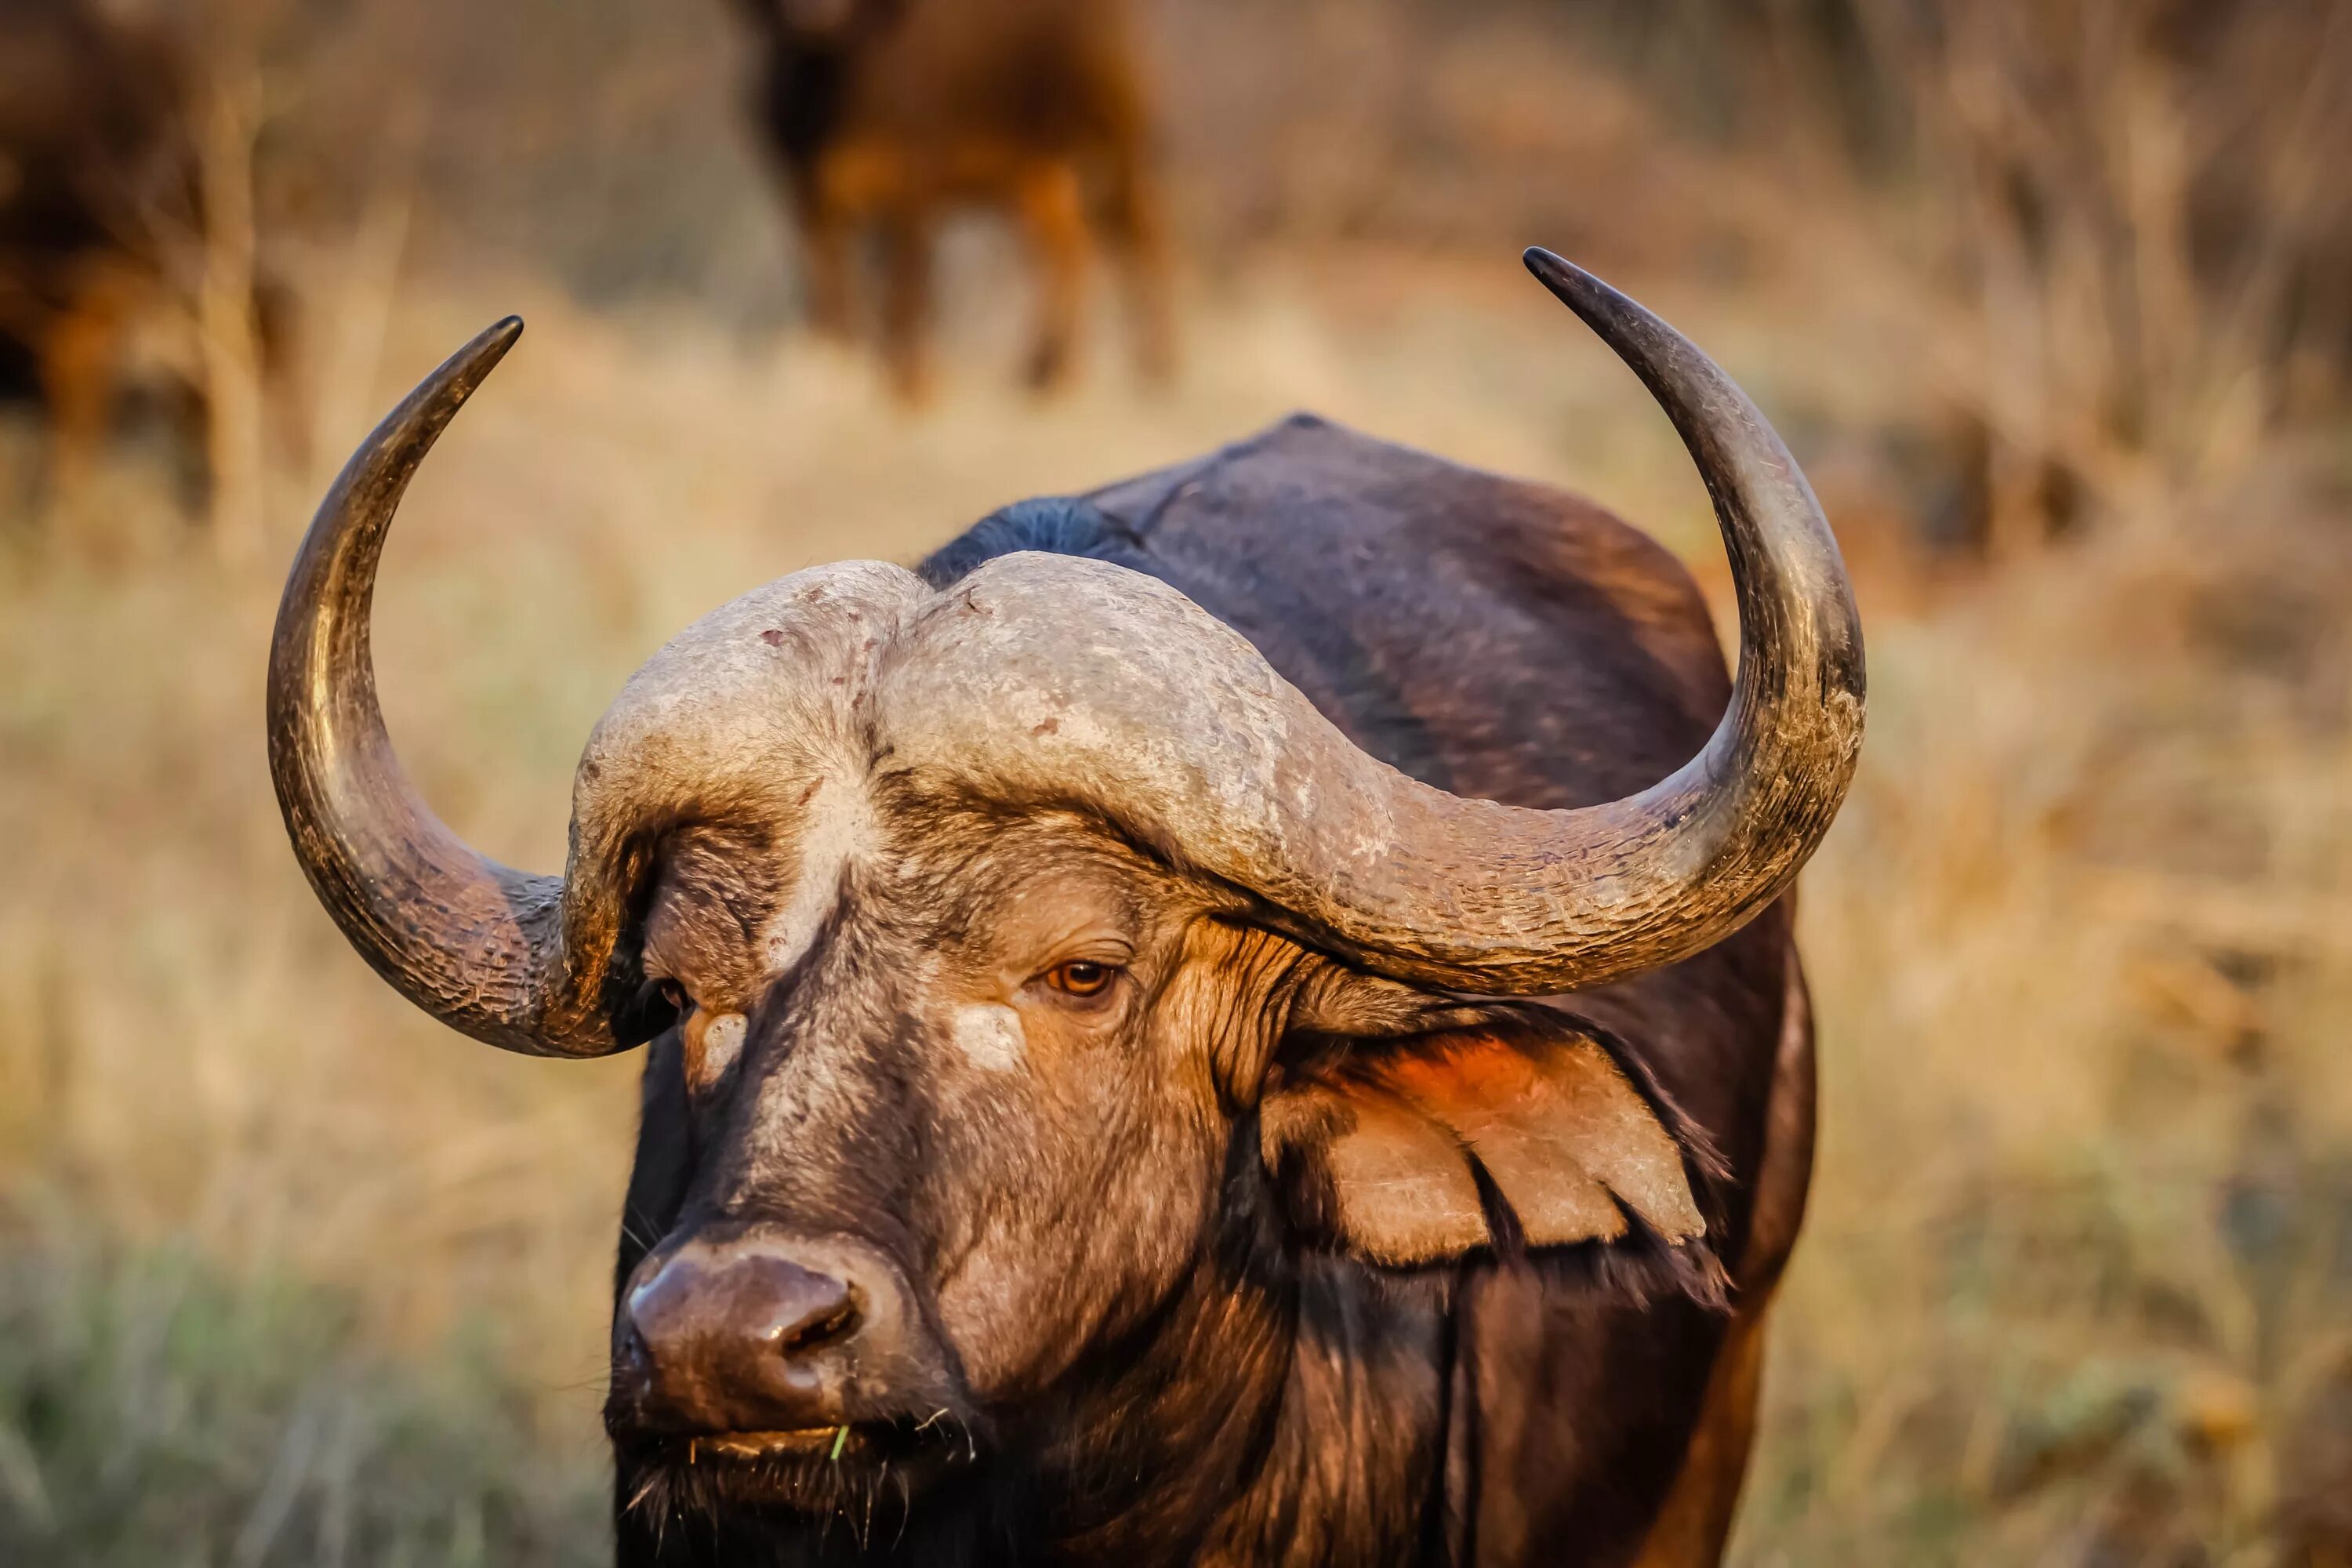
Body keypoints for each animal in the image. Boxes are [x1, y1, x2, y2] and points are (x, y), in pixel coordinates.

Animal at [724, 0, 1176, 401]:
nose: (817, 12)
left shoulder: (911, 186)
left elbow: (905, 291)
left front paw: (913, 391)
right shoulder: (806, 197)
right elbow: (829, 292)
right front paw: (836, 370)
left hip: (1113, 144)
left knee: (1142, 235)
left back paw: (1156, 369)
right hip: (1037, 177)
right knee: (1068, 249)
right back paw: (1045, 372)